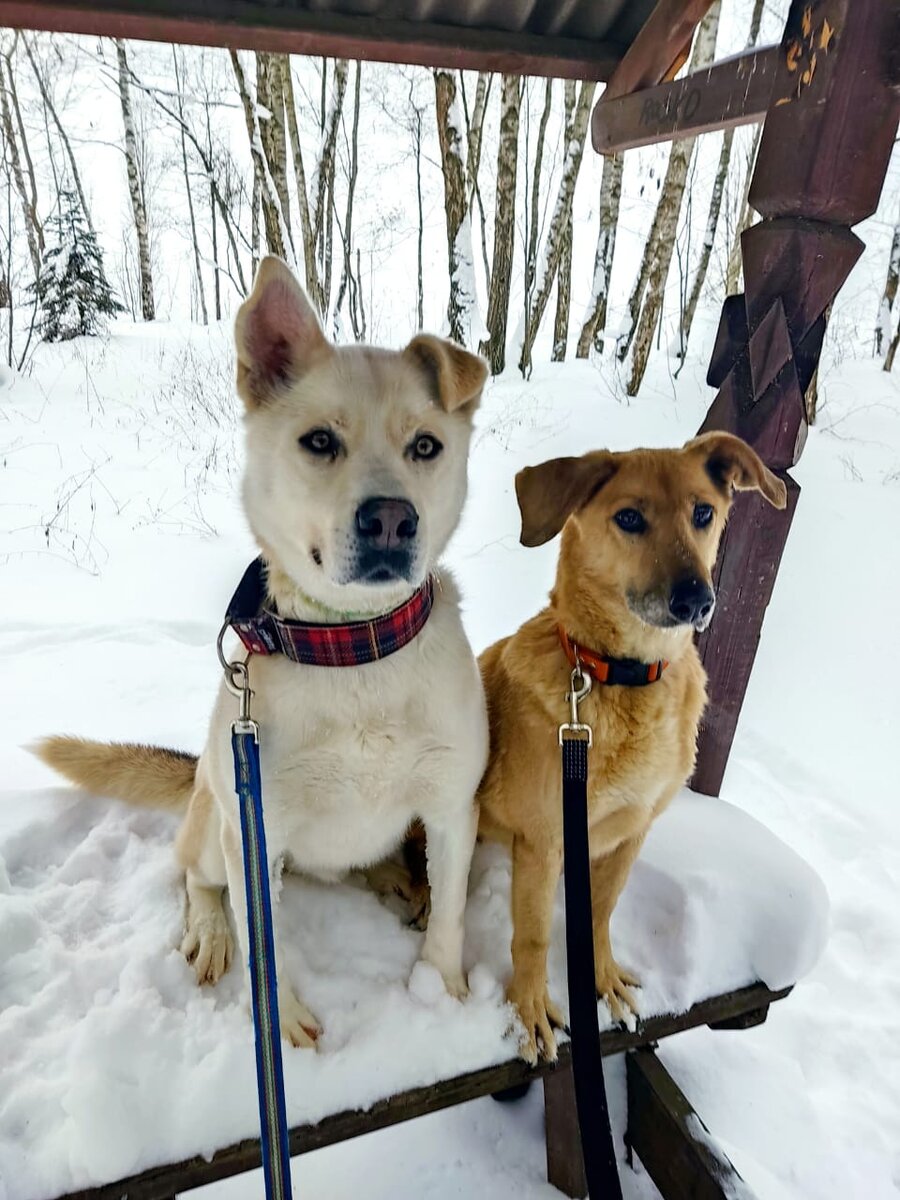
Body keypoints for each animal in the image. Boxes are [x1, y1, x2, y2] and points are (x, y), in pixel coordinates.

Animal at [35, 256, 490, 1048]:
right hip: (219, 825)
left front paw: (445, 991)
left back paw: (394, 879)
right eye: (320, 442)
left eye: (426, 446)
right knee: (195, 879)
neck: (353, 650)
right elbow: (263, 943)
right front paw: (280, 1017)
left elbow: (454, 912)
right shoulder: (257, 833)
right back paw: (213, 932)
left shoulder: (449, 809)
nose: (391, 519)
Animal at [475, 433, 787, 1063]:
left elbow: (602, 912)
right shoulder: (544, 841)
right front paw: (530, 1012)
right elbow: (533, 936)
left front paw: (602, 980)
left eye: (703, 513)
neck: (623, 676)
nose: (695, 599)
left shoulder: (631, 832)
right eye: (629, 518)